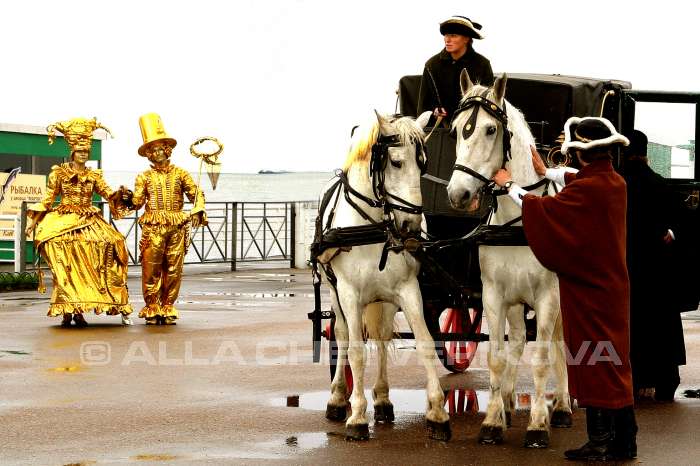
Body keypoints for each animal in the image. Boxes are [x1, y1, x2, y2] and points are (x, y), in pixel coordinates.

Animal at [318, 111, 452, 442]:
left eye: (423, 165)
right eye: (396, 162)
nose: (411, 227)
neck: (372, 227)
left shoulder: (408, 289)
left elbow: (426, 343)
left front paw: (438, 413)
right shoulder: (348, 292)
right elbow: (355, 351)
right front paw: (356, 416)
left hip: (385, 300)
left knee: (380, 337)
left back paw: (382, 400)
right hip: (334, 291)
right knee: (342, 335)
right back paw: (338, 398)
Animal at [446, 72, 572, 448]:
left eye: (490, 129)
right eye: (456, 129)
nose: (458, 194)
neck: (518, 220)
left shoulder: (548, 297)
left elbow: (542, 358)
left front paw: (538, 424)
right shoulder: (494, 296)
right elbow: (496, 357)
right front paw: (492, 420)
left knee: (559, 346)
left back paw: (562, 407)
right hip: (517, 303)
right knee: (517, 341)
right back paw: (506, 400)